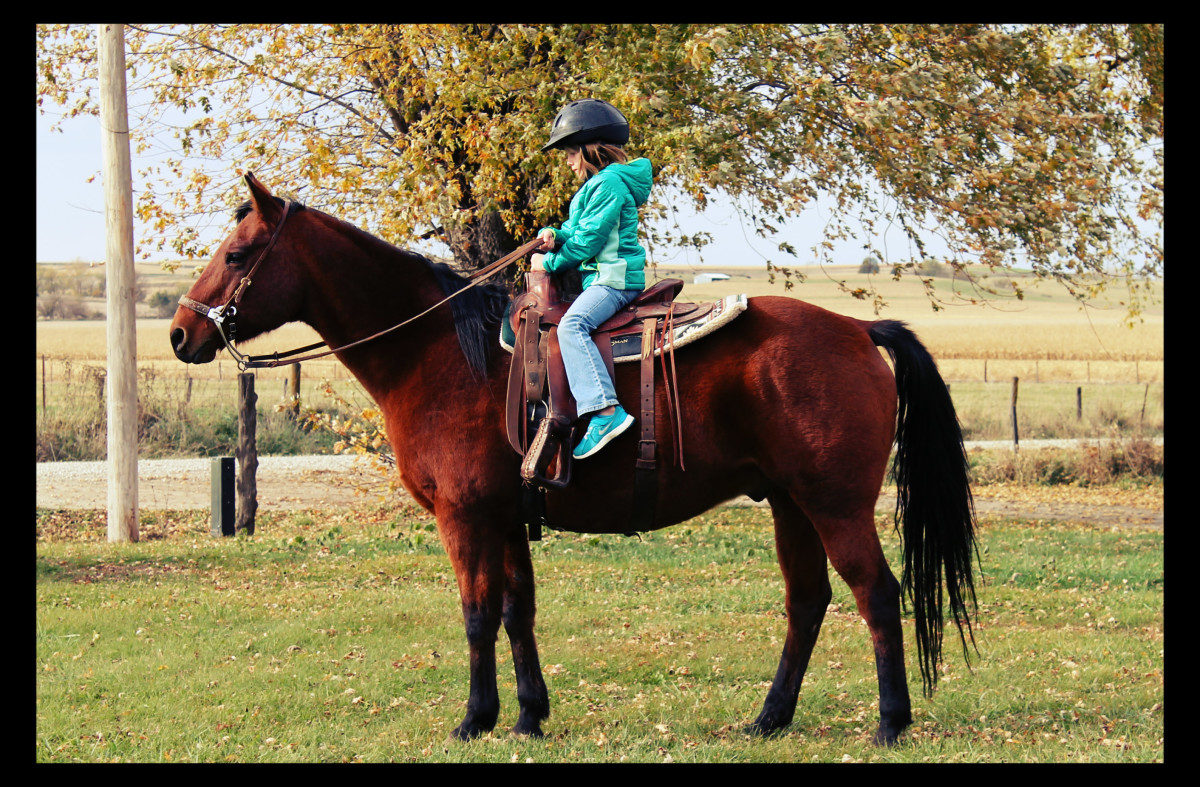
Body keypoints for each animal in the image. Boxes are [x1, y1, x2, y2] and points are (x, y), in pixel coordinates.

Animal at [169, 172, 974, 743]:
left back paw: (890, 723)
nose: (180, 333)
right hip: (788, 504)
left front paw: (474, 718)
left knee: (878, 595)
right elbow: (517, 611)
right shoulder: (507, 517)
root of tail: (858, 330)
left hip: (835, 506)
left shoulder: (465, 518)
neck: (437, 353)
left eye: (236, 254)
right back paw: (769, 719)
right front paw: (528, 715)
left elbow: (476, 615)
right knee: (806, 603)